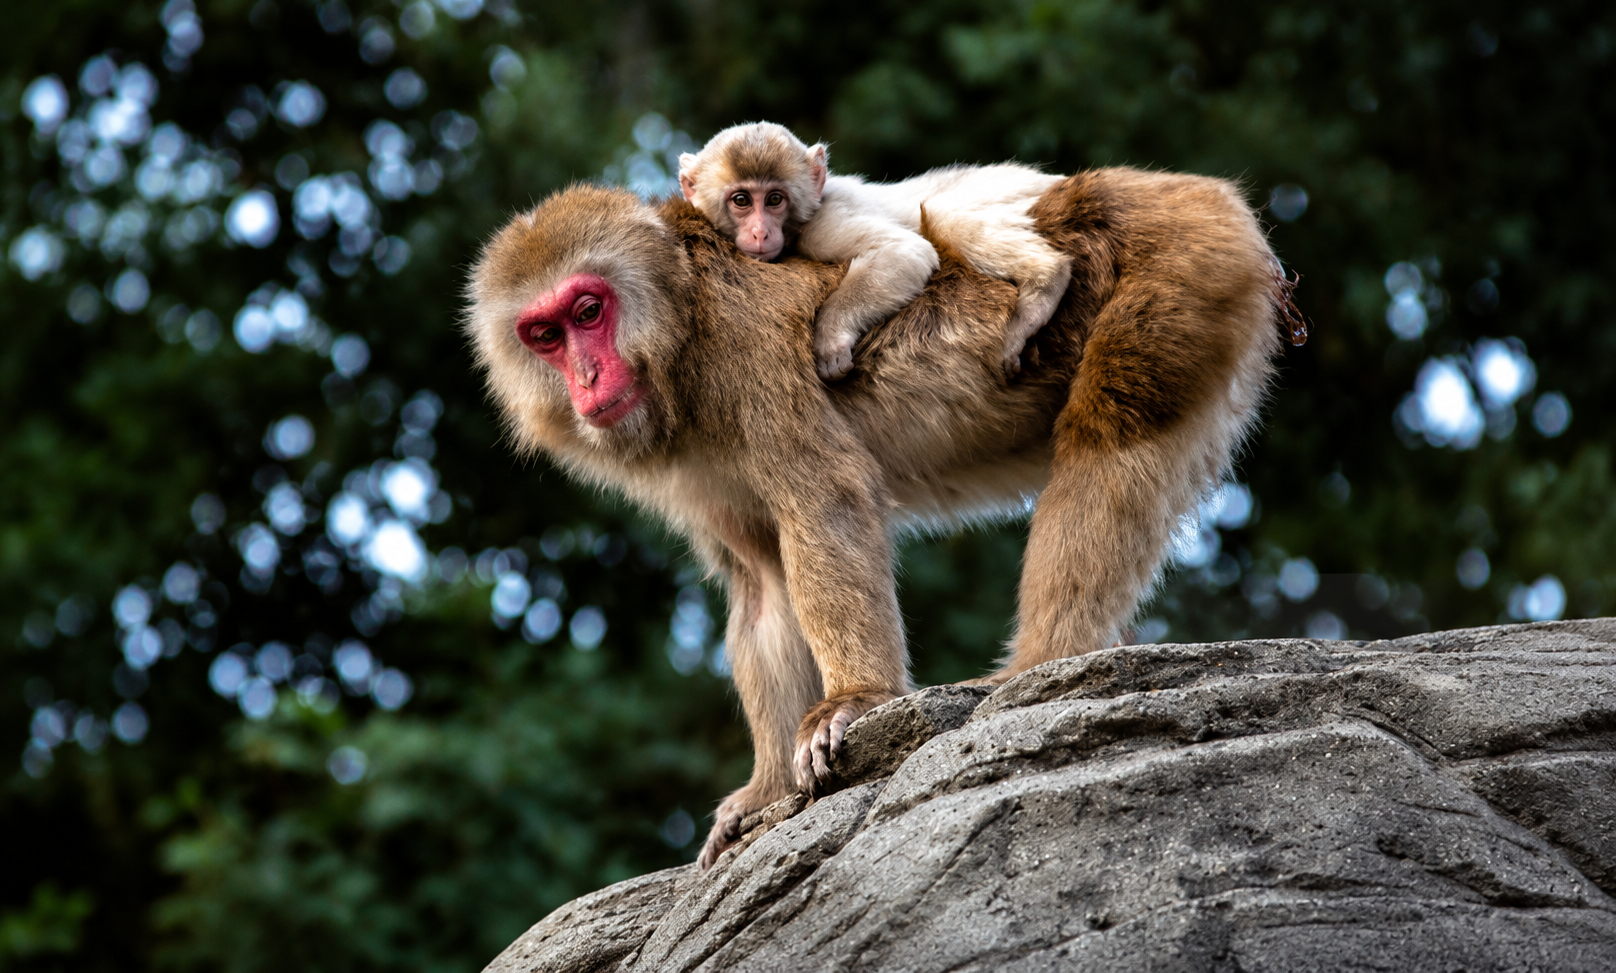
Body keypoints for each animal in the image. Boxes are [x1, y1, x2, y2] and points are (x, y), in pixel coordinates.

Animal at [465, 167, 1288, 870]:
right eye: (544, 334)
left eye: (589, 310)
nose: (586, 376)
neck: (681, 325)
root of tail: (1207, 194)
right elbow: (764, 587)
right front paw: (766, 790)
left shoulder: (744, 349)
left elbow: (825, 500)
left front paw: (853, 701)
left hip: (1178, 263)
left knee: (1113, 437)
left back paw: (1035, 670)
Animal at [677, 122, 1073, 381]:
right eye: (741, 201)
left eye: (774, 200)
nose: (760, 232)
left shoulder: (821, 225)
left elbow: (904, 251)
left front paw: (831, 335)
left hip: (1013, 191)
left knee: (942, 213)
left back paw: (1045, 282)